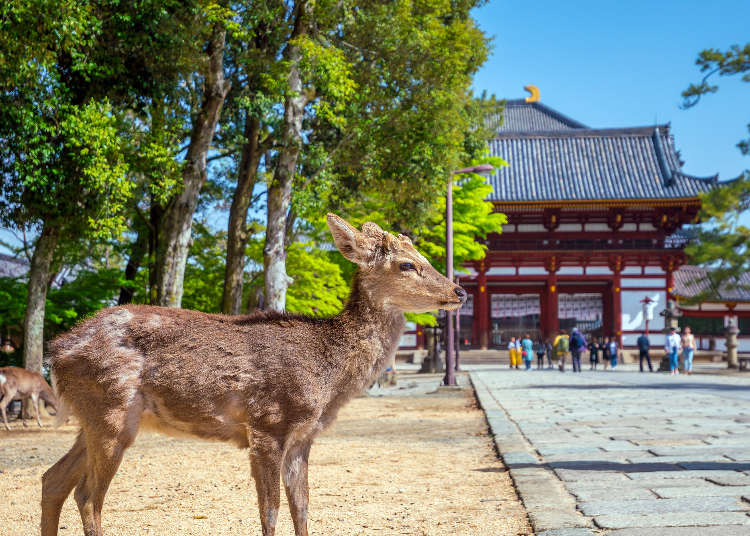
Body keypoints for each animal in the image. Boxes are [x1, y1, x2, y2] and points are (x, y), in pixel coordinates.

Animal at [41, 215, 468, 536]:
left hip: (96, 418)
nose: (459, 291)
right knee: (88, 496)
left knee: (53, 480)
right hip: (111, 410)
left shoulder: (303, 436)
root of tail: (56, 353)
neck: (329, 377)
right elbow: (270, 512)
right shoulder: (268, 423)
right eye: (407, 264)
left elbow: (302, 508)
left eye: (424, 255)